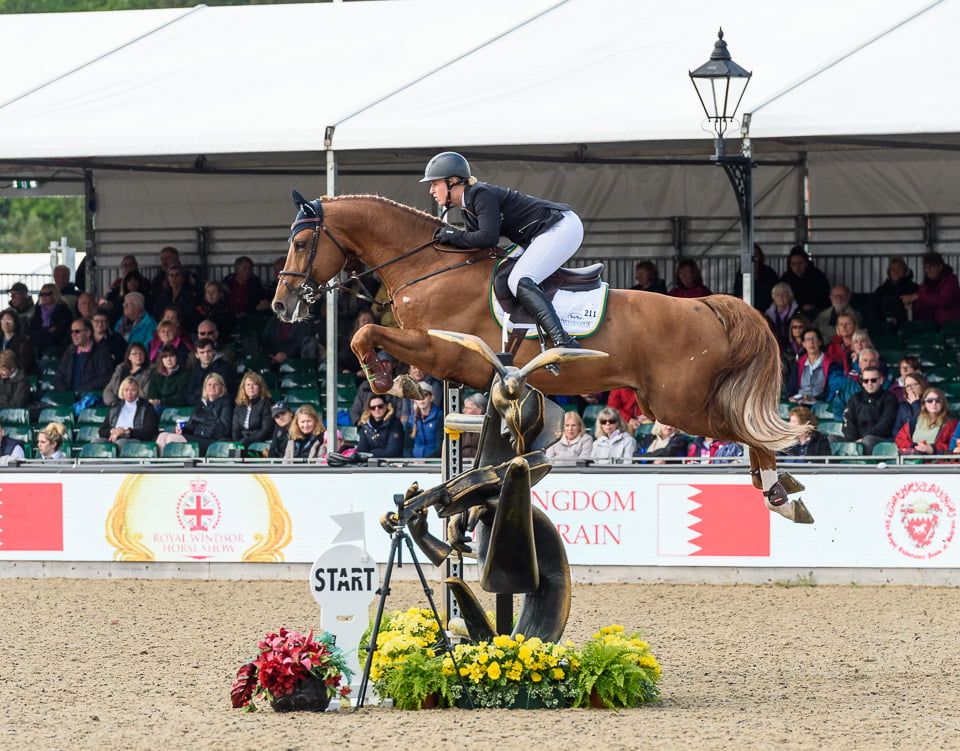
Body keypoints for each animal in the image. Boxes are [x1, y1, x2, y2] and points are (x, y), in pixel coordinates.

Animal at [272, 193, 812, 523]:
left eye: (300, 242)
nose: (282, 305)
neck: (428, 265)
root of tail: (704, 305)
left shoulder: (443, 350)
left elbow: (365, 333)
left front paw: (386, 381)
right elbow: (374, 340)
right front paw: (400, 383)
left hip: (679, 405)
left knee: (744, 430)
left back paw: (778, 494)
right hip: (667, 402)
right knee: (746, 430)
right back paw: (781, 485)